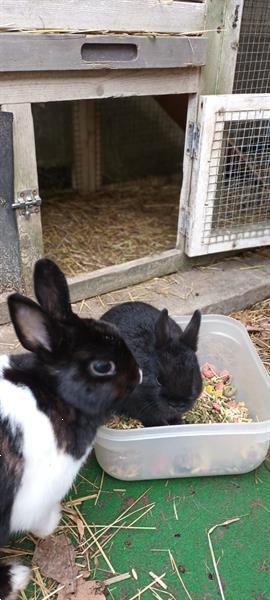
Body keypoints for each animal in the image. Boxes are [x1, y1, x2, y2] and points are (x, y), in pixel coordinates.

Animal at [0, 258, 140, 600]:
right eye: (102, 367)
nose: (139, 373)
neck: (52, 391)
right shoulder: (36, 495)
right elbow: (41, 522)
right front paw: (55, 521)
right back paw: (17, 577)